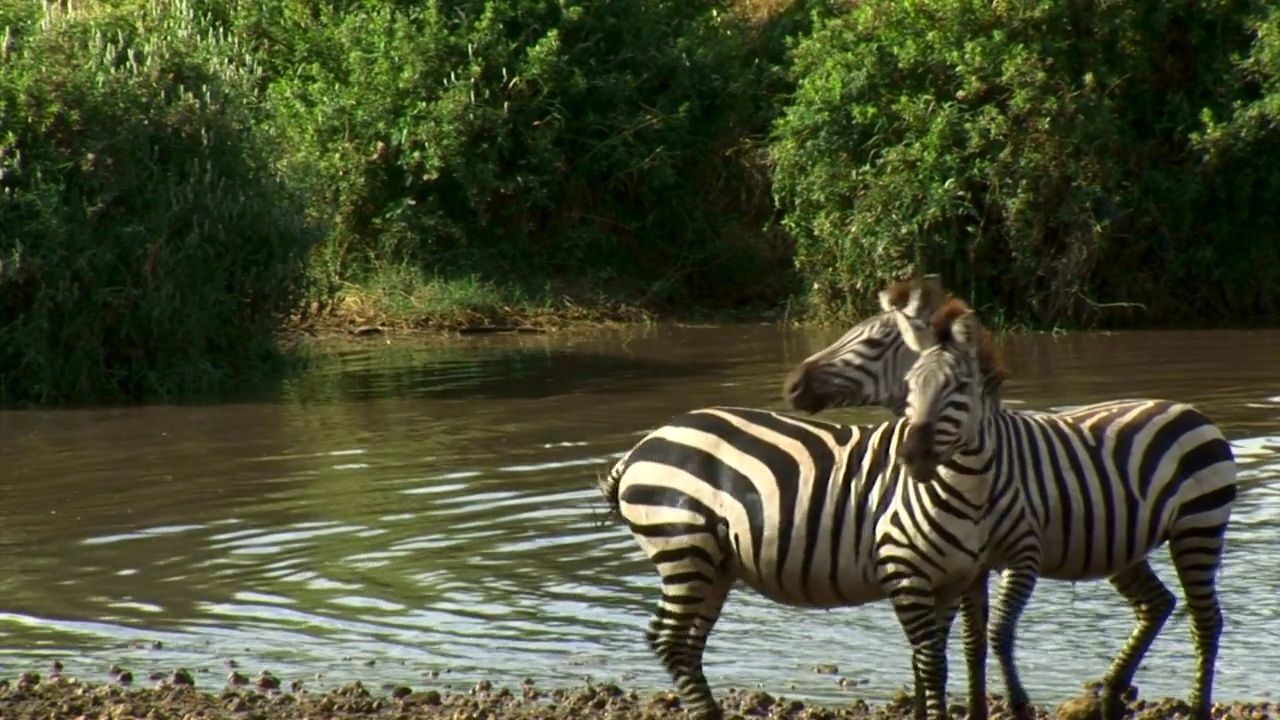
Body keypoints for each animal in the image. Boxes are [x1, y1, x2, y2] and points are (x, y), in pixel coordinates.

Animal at [599, 299, 1008, 717]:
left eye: (875, 341)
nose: (792, 385)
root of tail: (641, 447)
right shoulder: (913, 565)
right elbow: (941, 652)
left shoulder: (969, 572)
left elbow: (967, 646)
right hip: (683, 549)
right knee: (669, 640)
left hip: (714, 566)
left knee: (688, 643)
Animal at [783, 272, 1233, 717]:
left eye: (873, 341)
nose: (791, 385)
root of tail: (1189, 410)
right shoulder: (970, 564)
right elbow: (970, 640)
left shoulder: (1012, 555)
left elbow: (991, 635)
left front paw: (1008, 703)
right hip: (1122, 545)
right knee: (1157, 604)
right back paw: (1111, 692)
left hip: (1198, 526)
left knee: (1205, 620)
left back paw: (1190, 705)